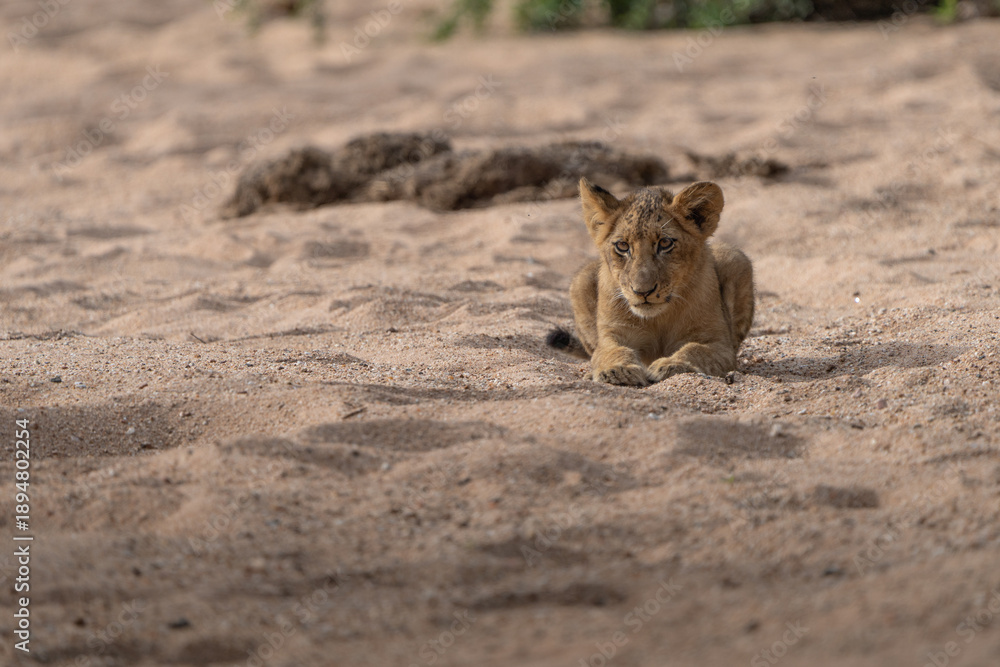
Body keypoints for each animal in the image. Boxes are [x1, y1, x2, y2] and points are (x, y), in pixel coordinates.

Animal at [546, 178, 754, 386]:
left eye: (665, 243)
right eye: (622, 246)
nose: (643, 292)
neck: (658, 318)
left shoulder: (720, 345)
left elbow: (695, 350)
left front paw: (670, 365)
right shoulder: (611, 336)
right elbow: (611, 351)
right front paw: (617, 370)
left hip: (735, 258)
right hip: (581, 280)